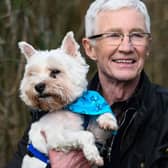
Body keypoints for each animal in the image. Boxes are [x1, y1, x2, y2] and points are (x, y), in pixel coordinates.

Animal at [18, 31, 117, 168]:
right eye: (32, 74)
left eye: (55, 72)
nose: (38, 86)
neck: (68, 107)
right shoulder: (56, 137)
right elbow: (86, 135)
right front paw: (93, 155)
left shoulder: (97, 132)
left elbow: (99, 121)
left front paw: (108, 120)